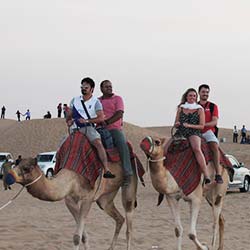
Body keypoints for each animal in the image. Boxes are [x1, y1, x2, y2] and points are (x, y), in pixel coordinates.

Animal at [7, 158, 139, 250]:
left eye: (26, 168)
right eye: (16, 163)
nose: (9, 175)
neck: (71, 179)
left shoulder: (87, 198)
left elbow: (77, 237)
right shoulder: (70, 201)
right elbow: (82, 236)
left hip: (130, 182)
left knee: (129, 226)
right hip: (105, 198)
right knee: (119, 218)